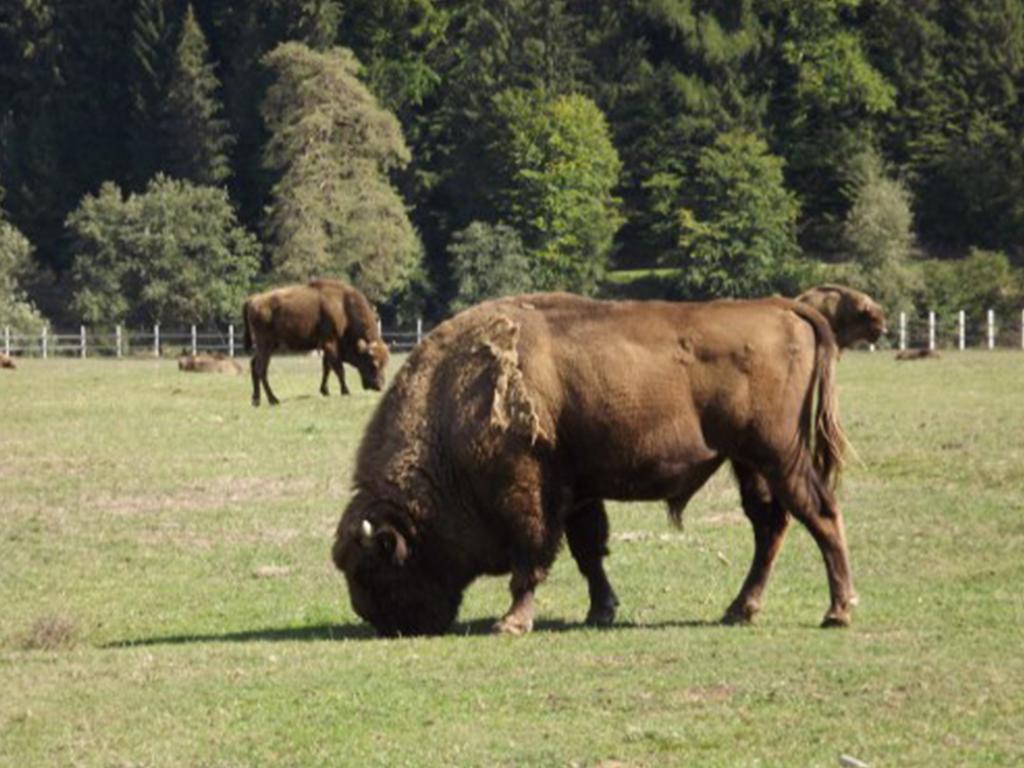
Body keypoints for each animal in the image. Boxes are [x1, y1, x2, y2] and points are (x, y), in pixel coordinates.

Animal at [331, 292, 851, 638]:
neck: (455, 401)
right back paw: (741, 609)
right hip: (749, 463)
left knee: (820, 514)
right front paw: (600, 611)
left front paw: (512, 622)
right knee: (770, 525)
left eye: (371, 568)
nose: (381, 623)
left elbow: (533, 556)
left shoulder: (528, 494)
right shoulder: (578, 492)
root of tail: (782, 307)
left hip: (779, 455)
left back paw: (837, 611)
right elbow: (588, 552)